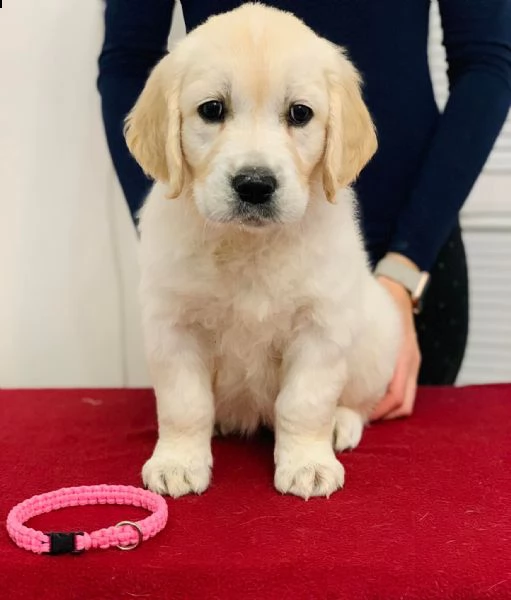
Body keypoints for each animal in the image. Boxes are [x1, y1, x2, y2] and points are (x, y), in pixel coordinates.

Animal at [126, 2, 402, 500]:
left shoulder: (320, 328)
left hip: (376, 339)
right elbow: (184, 404)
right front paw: (177, 462)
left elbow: (304, 403)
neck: (247, 245)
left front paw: (308, 464)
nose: (255, 185)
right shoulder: (174, 327)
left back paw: (342, 424)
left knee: (358, 401)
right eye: (212, 109)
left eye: (300, 113)